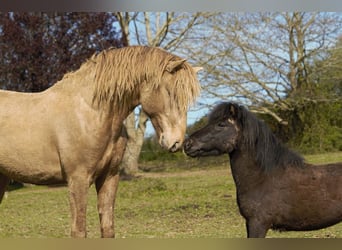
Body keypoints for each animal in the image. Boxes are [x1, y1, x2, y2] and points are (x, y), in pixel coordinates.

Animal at [0, 46, 200, 237]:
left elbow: (108, 228)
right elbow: (79, 231)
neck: (91, 112)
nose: (176, 142)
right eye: (170, 92)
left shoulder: (109, 176)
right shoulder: (78, 179)